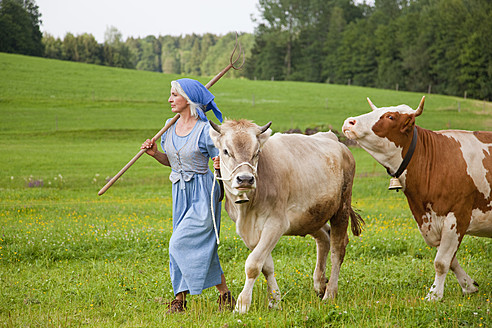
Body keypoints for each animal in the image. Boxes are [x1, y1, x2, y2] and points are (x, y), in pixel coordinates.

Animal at [209, 120, 364, 312]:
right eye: (225, 151)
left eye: (257, 152)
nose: (245, 179)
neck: (248, 207)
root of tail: (335, 140)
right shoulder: (248, 232)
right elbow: (266, 266)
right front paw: (275, 300)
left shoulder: (276, 224)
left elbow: (253, 264)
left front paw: (242, 304)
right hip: (311, 216)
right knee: (324, 238)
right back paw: (320, 284)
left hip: (341, 208)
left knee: (337, 249)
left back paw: (329, 294)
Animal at [342, 96, 492, 300]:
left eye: (390, 116)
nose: (349, 122)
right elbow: (451, 260)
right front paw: (469, 286)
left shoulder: (458, 216)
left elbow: (441, 261)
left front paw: (434, 295)